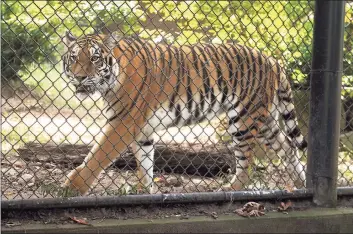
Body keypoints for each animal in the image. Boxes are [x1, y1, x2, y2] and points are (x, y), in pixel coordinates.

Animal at [60, 31, 306, 196]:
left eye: (95, 58)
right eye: (73, 57)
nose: (79, 77)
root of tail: (273, 60)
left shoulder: (123, 122)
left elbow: (97, 157)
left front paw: (73, 188)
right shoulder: (142, 129)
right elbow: (145, 163)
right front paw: (143, 190)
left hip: (243, 120)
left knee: (248, 163)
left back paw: (231, 188)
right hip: (266, 123)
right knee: (288, 147)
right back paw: (301, 184)